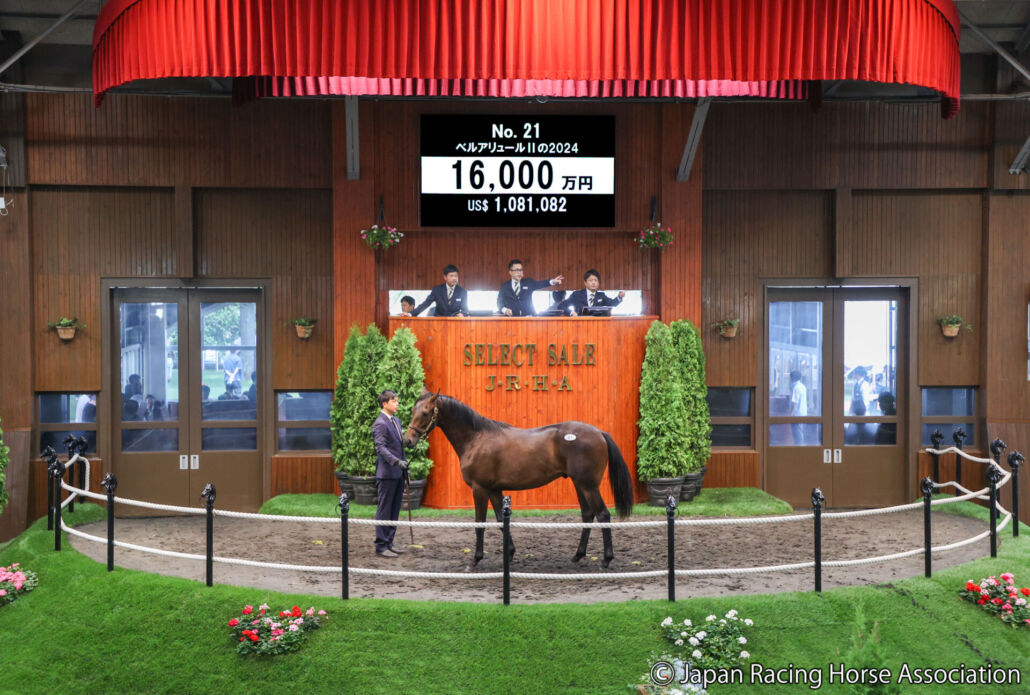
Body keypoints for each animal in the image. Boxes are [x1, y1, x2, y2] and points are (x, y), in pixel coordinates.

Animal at [402, 390, 634, 568]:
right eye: (413, 410)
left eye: (425, 413)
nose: (408, 440)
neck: (477, 439)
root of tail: (599, 432)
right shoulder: (494, 489)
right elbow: (500, 522)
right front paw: (510, 554)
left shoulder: (479, 489)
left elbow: (480, 523)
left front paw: (475, 560)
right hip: (580, 485)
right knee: (587, 515)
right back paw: (577, 556)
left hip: (588, 486)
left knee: (603, 515)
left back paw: (606, 560)